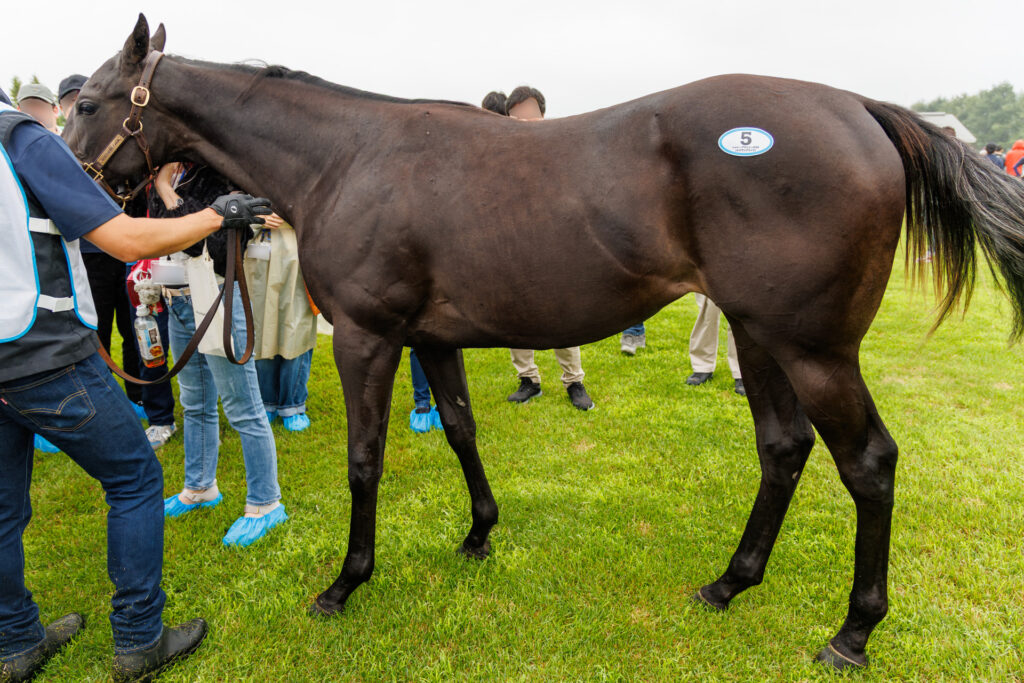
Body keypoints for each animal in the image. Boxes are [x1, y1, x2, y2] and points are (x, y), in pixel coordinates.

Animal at [63, 14, 1024, 670]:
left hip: (814, 349)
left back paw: (854, 629)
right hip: (760, 336)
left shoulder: (368, 339)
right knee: (784, 449)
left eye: (95, 101)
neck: (347, 158)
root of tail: (859, 108)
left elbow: (366, 460)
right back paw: (730, 580)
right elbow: (459, 428)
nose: (71, 190)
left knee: (868, 462)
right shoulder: (430, 338)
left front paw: (346, 580)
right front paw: (479, 534)